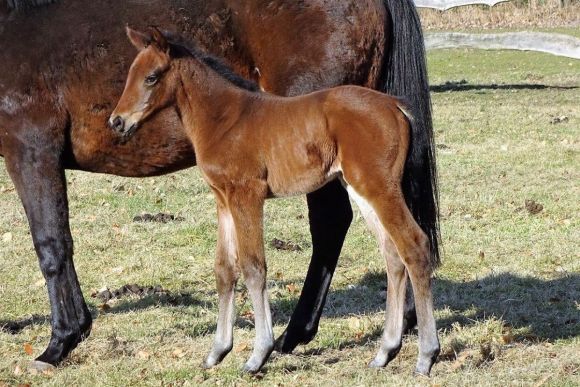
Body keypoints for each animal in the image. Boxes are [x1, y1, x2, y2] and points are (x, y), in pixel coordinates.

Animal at [110, 28, 440, 378]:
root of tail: (394, 105)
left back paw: (426, 355)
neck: (225, 118)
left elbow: (253, 267)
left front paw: (258, 354)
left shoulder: (247, 195)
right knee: (392, 255)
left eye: (151, 77)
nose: (116, 122)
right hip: (359, 188)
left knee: (415, 246)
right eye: (131, 74)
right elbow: (224, 269)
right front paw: (217, 352)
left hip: (380, 187)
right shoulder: (223, 200)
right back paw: (384, 352)